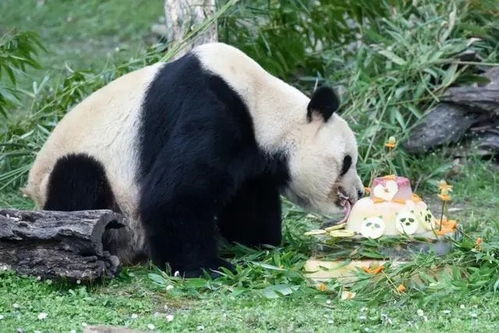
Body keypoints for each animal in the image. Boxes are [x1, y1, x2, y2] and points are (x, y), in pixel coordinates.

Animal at [23, 42, 366, 276]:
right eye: (347, 161)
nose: (360, 192)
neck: (261, 104)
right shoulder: (209, 109)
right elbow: (175, 195)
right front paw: (206, 265)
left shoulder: (250, 153)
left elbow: (248, 202)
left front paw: (259, 242)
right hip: (88, 179)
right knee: (78, 176)